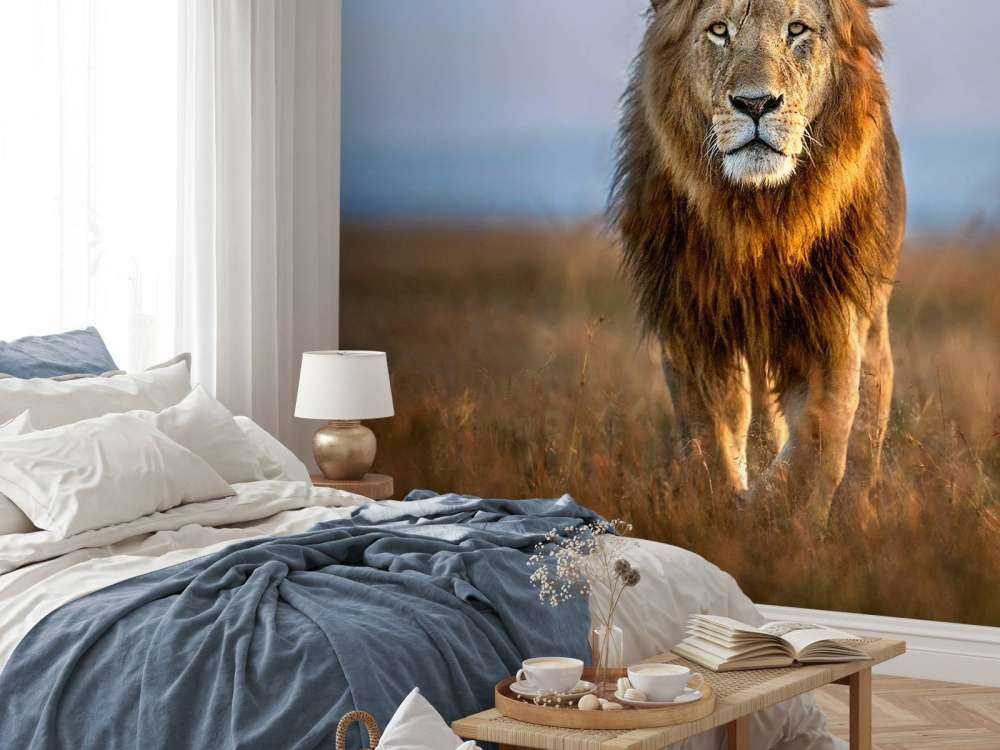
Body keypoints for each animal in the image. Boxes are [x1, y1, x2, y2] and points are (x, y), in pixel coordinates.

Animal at [610, 0, 905, 526]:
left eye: (797, 29)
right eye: (719, 30)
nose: (754, 104)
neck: (759, 217)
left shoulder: (833, 320)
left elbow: (822, 432)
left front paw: (778, 515)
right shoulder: (691, 322)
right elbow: (709, 432)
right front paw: (724, 507)